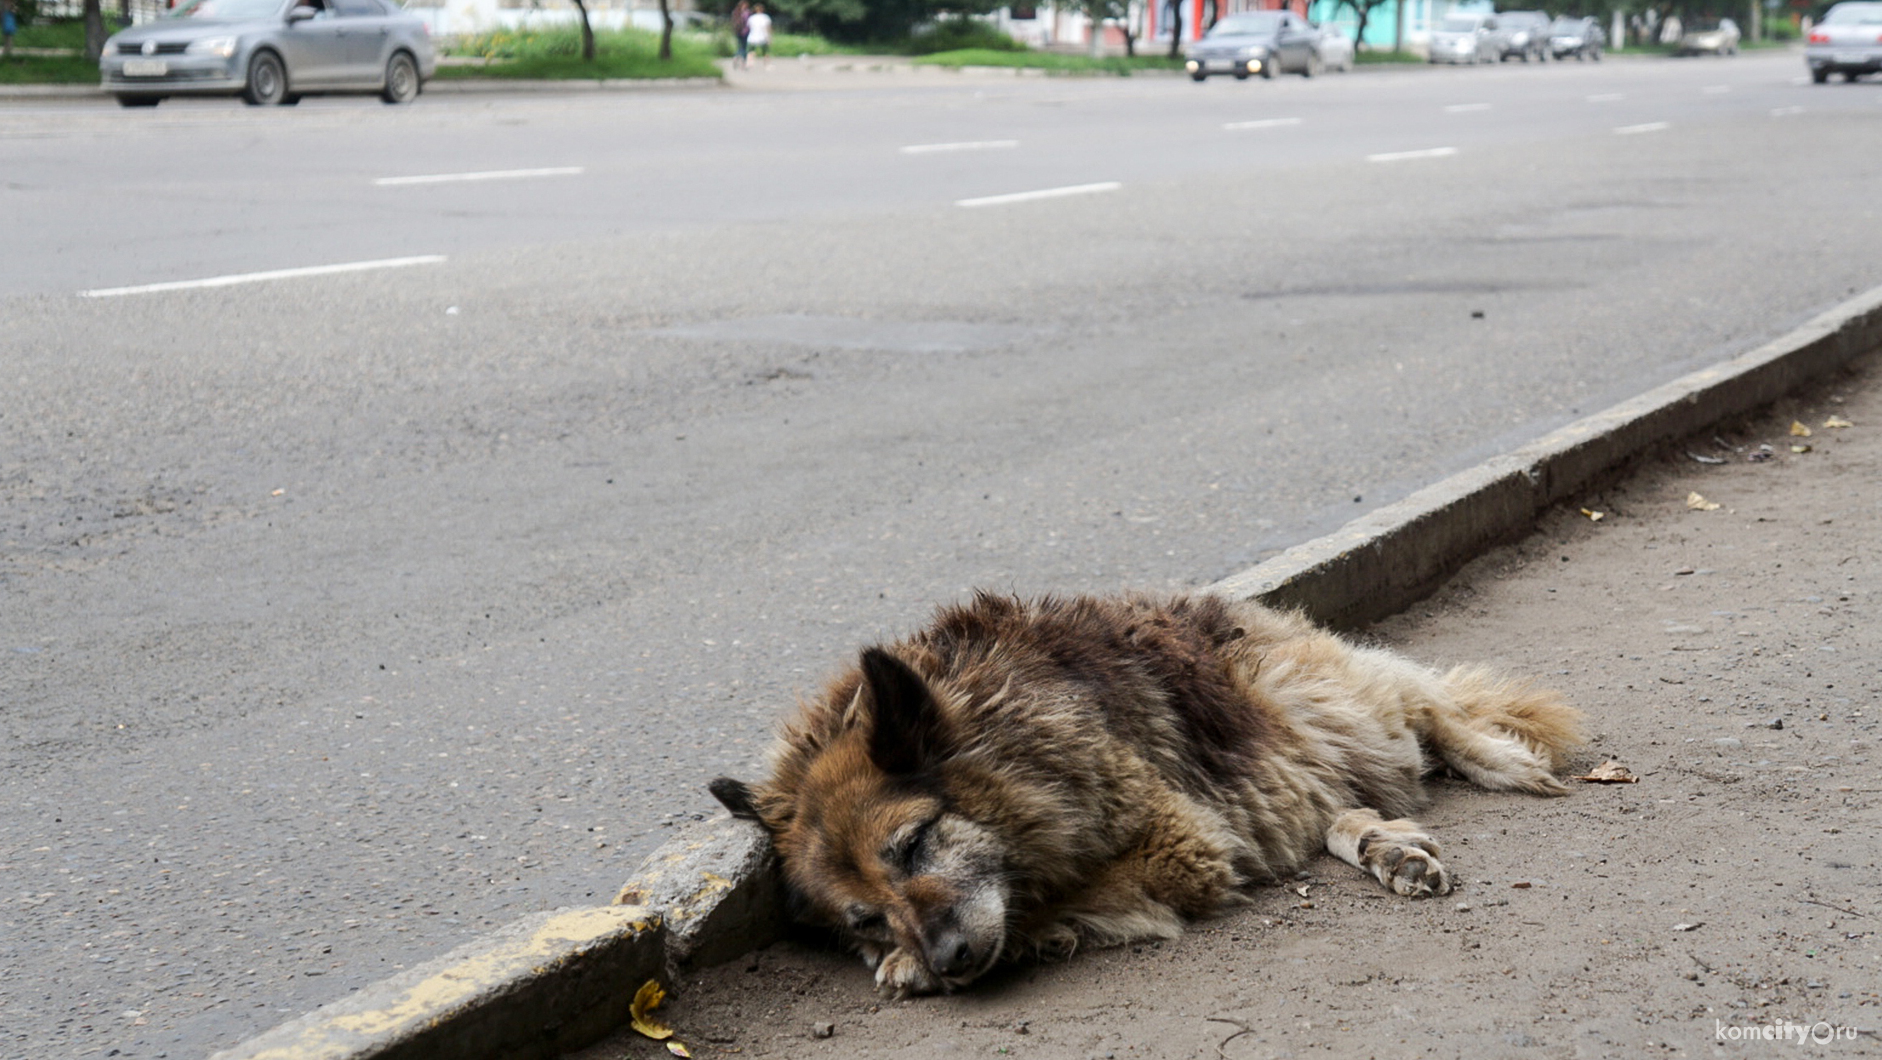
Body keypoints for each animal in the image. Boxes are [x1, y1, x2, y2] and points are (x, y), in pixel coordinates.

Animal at [711, 594, 1580, 1001]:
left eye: (915, 845)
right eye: (861, 916)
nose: (949, 960)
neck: (1008, 739)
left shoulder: (1178, 844)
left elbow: (1043, 905)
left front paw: (918, 965)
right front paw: (896, 957)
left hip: (1317, 701)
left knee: (1425, 706)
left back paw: (1496, 757)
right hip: (1278, 774)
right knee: (1330, 806)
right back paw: (1384, 846)